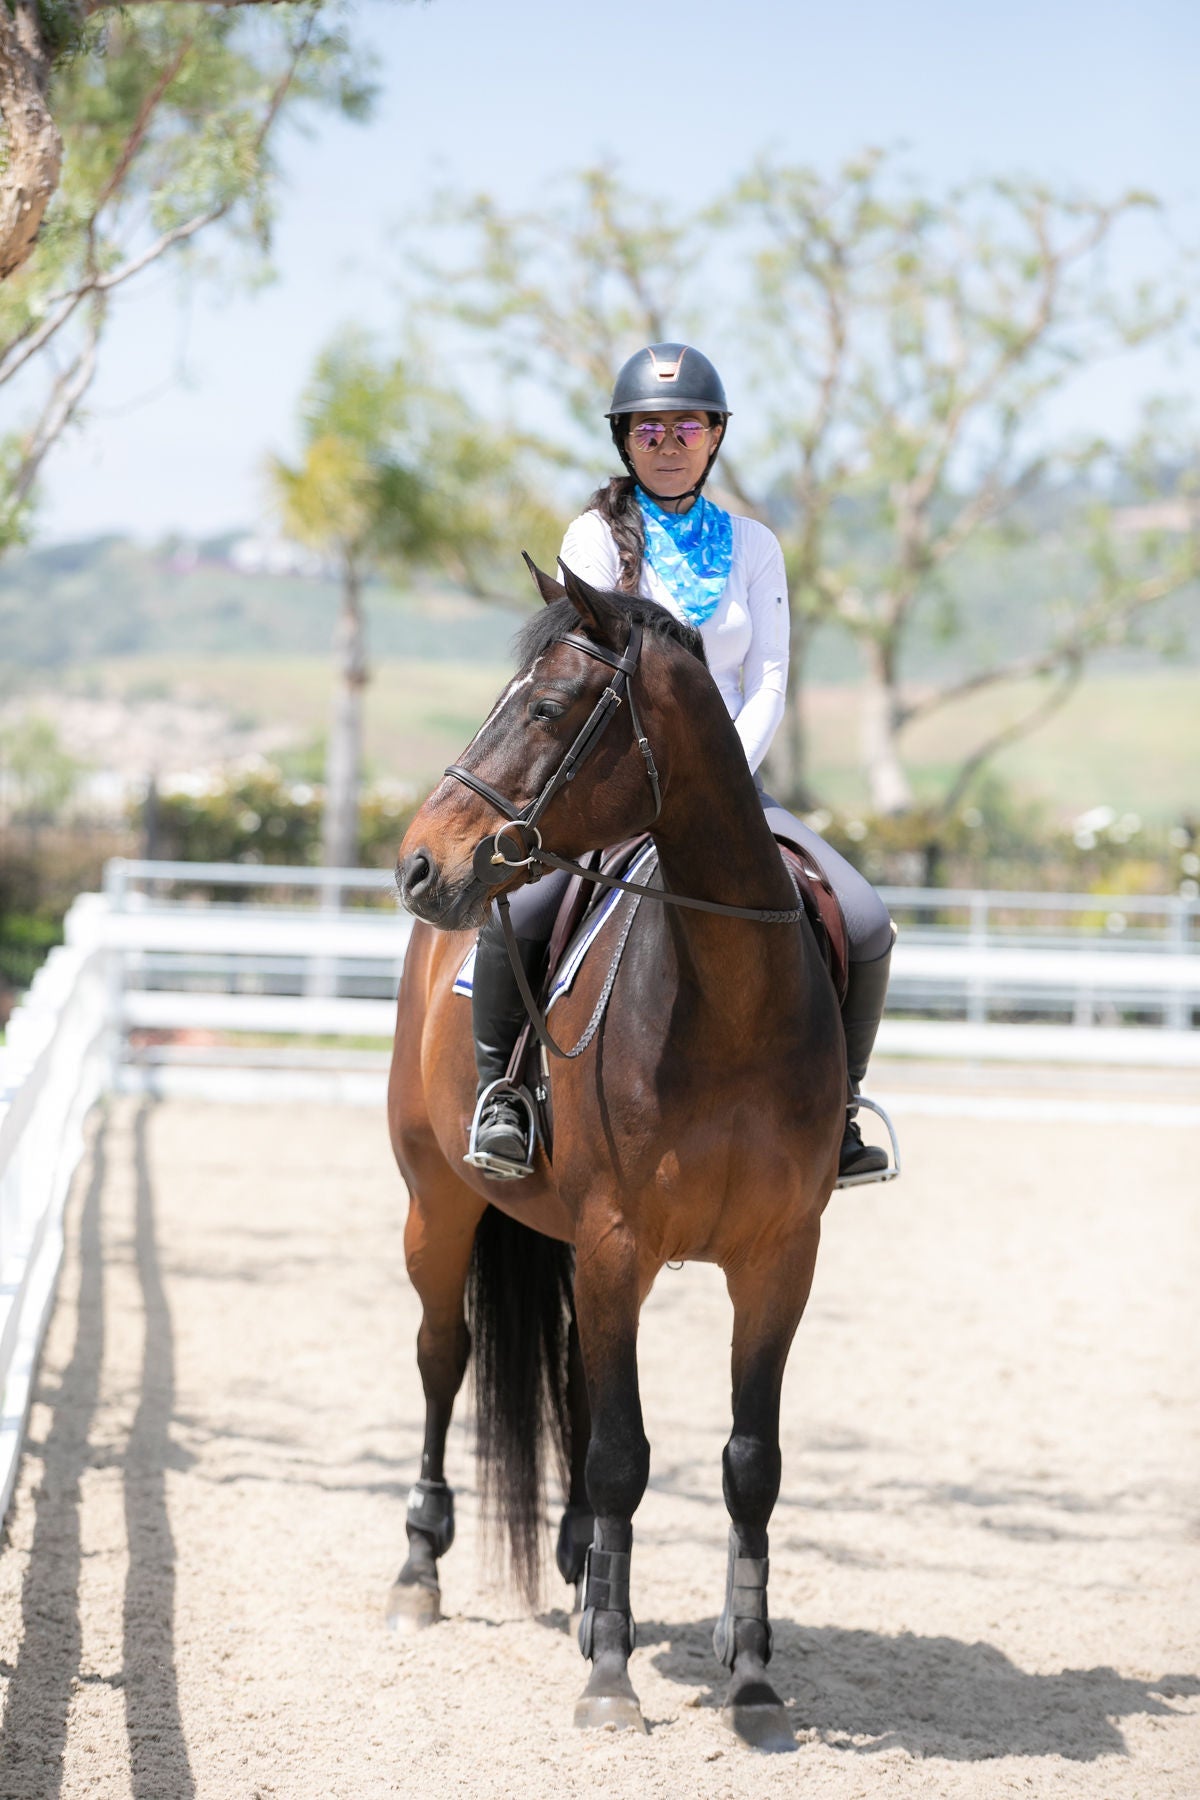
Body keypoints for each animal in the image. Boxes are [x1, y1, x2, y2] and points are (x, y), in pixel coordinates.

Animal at [392, 558, 845, 1742]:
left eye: (548, 709)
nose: (418, 863)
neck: (729, 998)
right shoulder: (613, 1241)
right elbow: (618, 1458)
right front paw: (610, 1680)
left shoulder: (780, 1259)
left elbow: (746, 1464)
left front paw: (751, 1678)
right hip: (439, 1206)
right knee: (443, 1358)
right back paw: (421, 1570)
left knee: (577, 1387)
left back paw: (587, 1577)